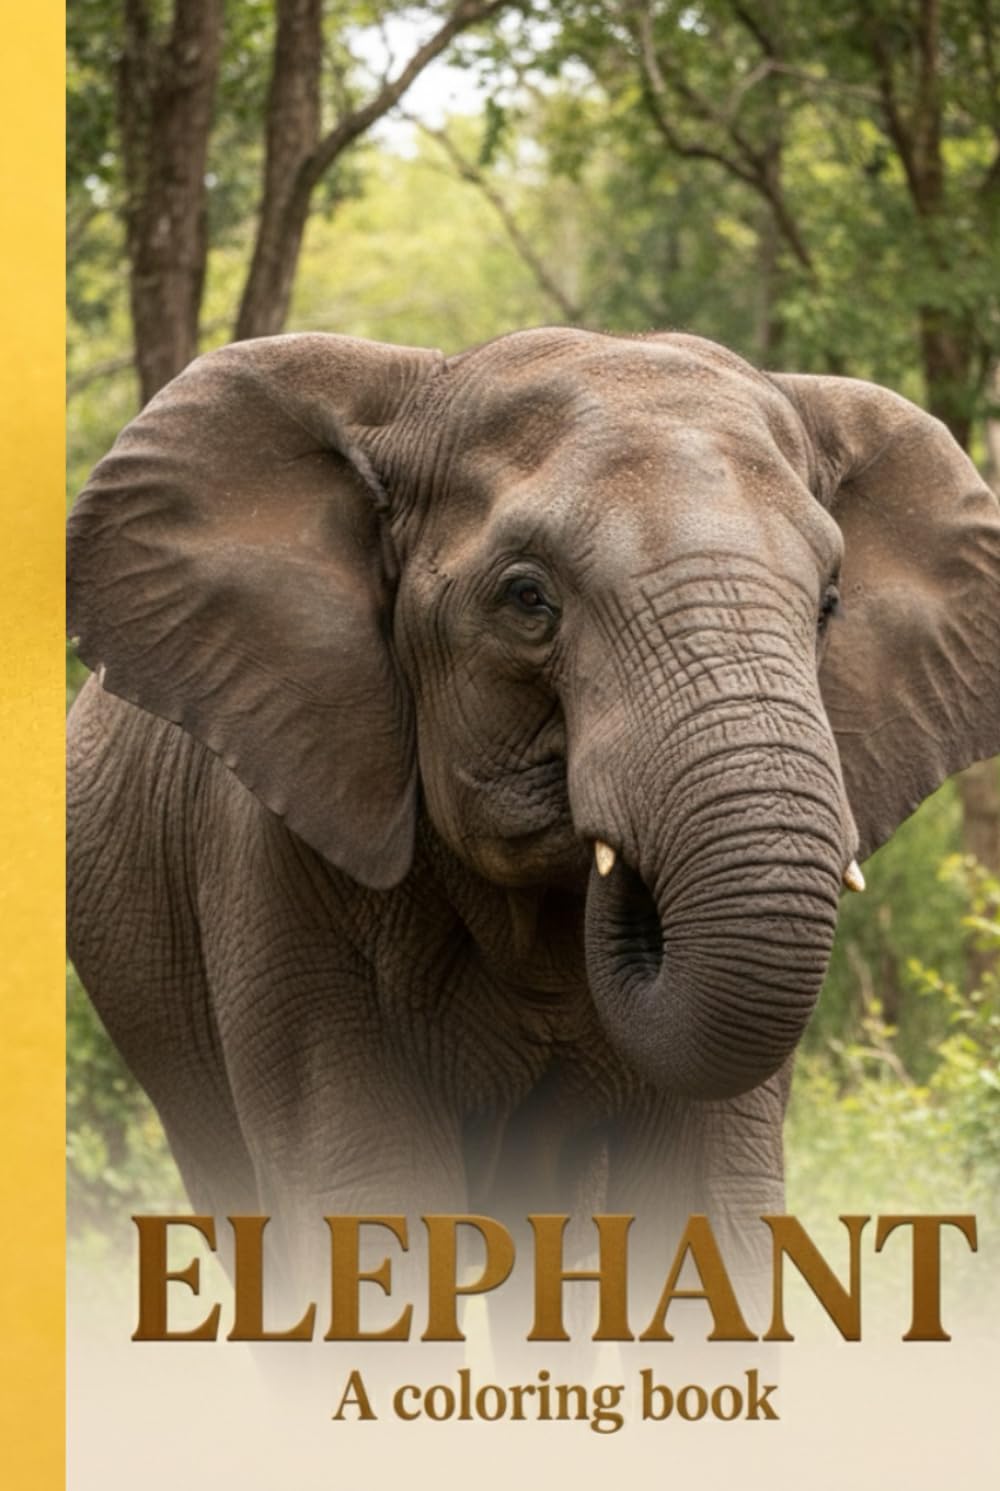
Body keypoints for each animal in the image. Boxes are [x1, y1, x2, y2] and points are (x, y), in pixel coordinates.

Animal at [67, 327, 1000, 1319]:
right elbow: (366, 1212)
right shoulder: (276, 861)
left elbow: (709, 1212)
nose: (624, 870)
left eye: (828, 604)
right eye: (526, 598)